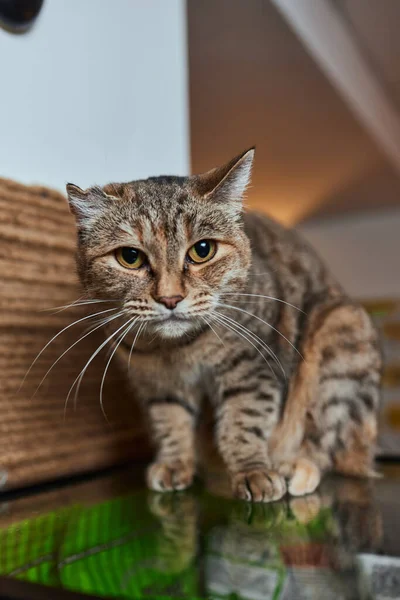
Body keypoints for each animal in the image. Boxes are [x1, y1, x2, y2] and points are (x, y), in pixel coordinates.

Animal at [65, 146, 382, 502]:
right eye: (130, 257)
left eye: (202, 250)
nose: (170, 298)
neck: (178, 350)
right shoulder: (157, 383)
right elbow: (170, 422)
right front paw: (175, 464)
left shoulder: (251, 367)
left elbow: (243, 421)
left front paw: (253, 472)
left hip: (339, 337)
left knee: (325, 438)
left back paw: (296, 466)